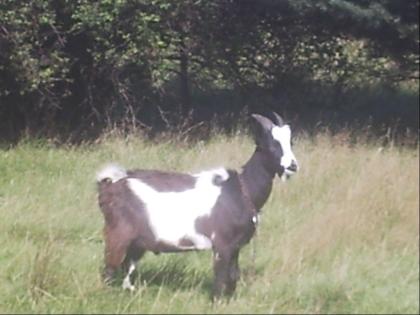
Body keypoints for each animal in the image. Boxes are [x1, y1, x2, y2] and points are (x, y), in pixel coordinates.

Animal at [96, 113, 298, 298]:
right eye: (271, 144)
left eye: (290, 142)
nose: (293, 166)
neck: (243, 188)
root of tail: (109, 185)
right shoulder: (222, 244)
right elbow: (220, 277)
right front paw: (217, 302)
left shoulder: (235, 246)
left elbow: (233, 275)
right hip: (118, 235)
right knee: (108, 270)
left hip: (137, 243)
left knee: (125, 267)